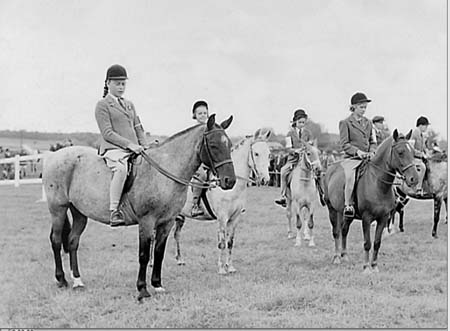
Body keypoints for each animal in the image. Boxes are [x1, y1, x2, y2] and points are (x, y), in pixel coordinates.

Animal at [42, 115, 237, 300]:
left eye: (230, 144)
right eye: (213, 145)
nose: (230, 181)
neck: (162, 172)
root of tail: (53, 156)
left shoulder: (167, 222)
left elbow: (159, 252)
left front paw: (157, 285)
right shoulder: (147, 221)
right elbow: (144, 255)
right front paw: (142, 290)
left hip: (80, 212)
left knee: (73, 241)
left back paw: (77, 281)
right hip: (58, 209)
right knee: (56, 240)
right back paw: (61, 279)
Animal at [171, 127, 270, 274]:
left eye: (269, 154)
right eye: (256, 153)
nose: (265, 180)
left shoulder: (235, 218)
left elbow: (230, 242)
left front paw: (230, 267)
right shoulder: (222, 218)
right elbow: (221, 243)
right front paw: (221, 268)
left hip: (179, 216)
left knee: (176, 234)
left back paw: (179, 259)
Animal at [324, 131, 418, 274]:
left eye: (412, 152)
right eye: (400, 152)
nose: (414, 179)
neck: (377, 184)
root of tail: (331, 169)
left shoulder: (383, 218)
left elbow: (377, 242)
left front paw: (374, 266)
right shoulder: (366, 218)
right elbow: (367, 243)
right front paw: (366, 267)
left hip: (346, 214)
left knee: (344, 230)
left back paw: (344, 256)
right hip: (332, 210)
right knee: (336, 232)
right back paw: (336, 258)